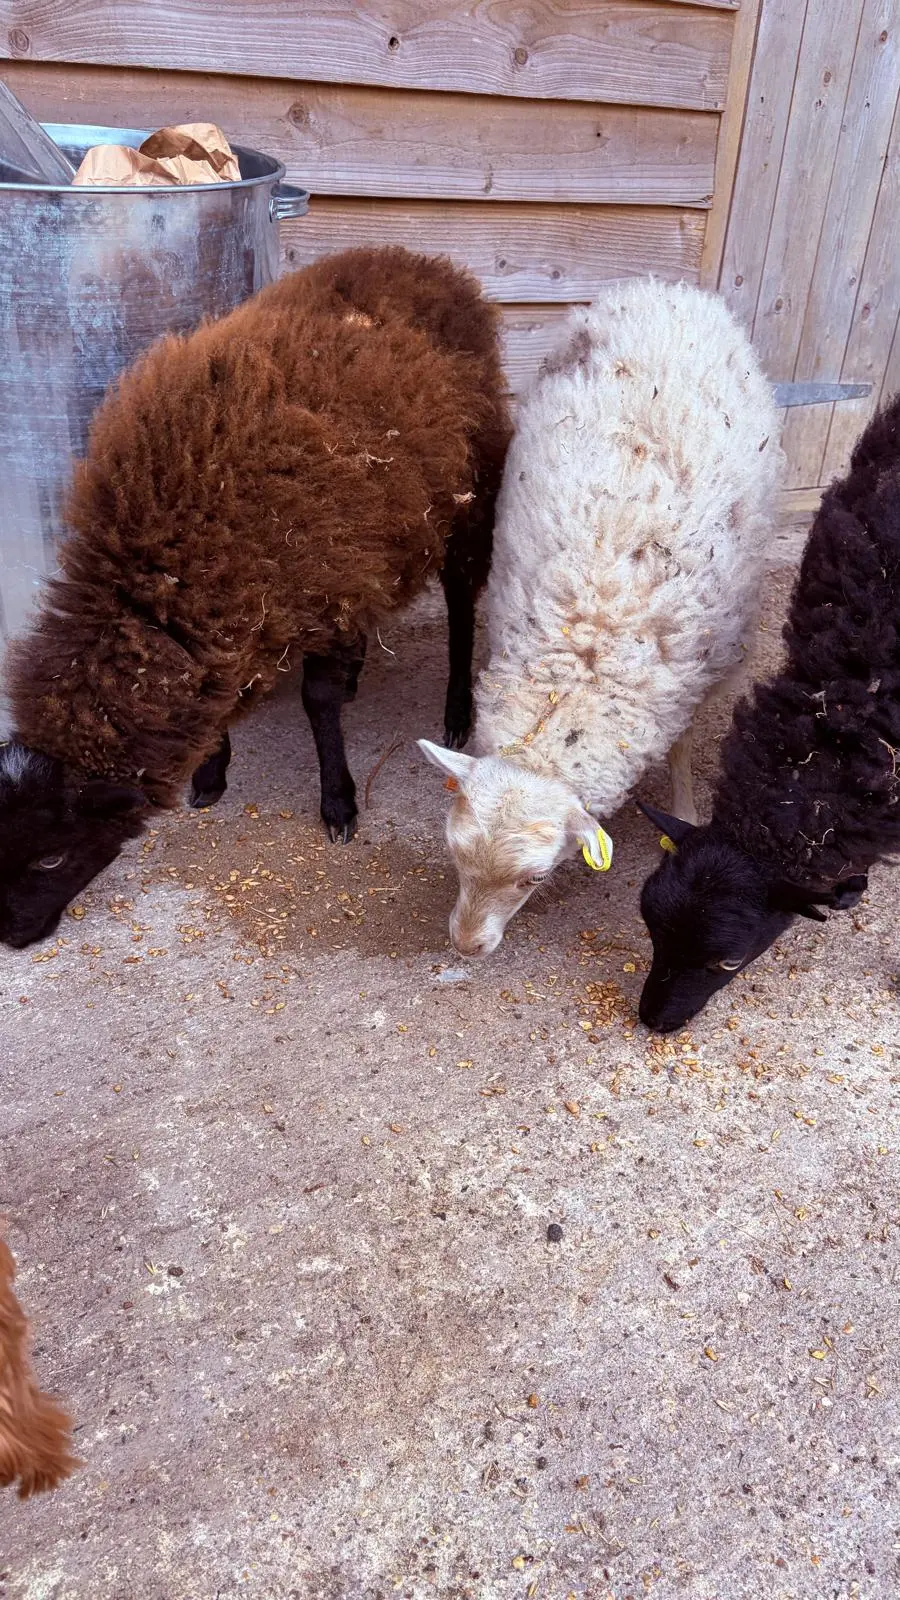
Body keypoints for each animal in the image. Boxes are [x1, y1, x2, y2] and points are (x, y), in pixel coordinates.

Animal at [0, 246, 510, 948]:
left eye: (52, 856)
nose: (13, 938)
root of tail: (422, 262)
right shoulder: (237, 612)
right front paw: (211, 776)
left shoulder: (320, 587)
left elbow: (317, 703)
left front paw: (338, 804)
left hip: (467, 500)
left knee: (461, 606)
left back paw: (456, 708)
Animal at [419, 277, 782, 956]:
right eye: (453, 855)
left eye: (534, 879)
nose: (465, 946)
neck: (588, 642)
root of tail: (663, 289)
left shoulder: (692, 671)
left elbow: (682, 748)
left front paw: (684, 813)